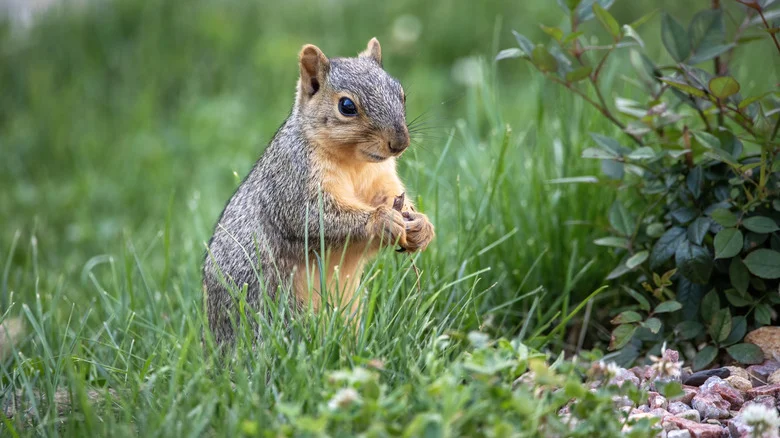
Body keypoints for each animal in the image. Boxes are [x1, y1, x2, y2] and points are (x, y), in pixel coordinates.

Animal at [202, 38, 435, 345]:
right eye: (346, 106)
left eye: (401, 94)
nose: (400, 143)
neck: (354, 163)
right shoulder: (292, 181)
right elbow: (314, 218)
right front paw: (381, 220)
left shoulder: (381, 179)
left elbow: (389, 198)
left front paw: (421, 225)